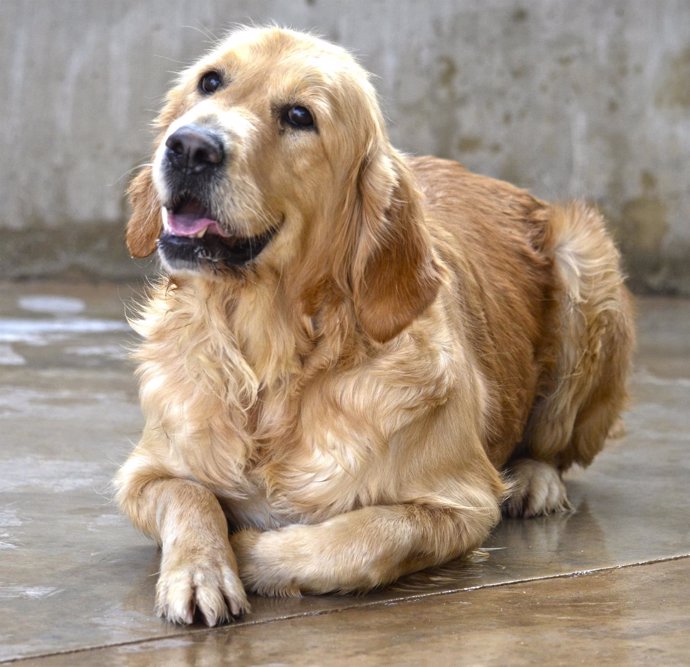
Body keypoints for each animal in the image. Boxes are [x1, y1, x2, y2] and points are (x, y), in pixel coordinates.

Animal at [114, 24, 636, 620]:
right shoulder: (142, 472)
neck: (271, 368)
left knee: (554, 448)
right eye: (210, 82)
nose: (190, 146)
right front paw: (201, 569)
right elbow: (189, 493)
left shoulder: (461, 503)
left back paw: (534, 480)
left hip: (586, 261)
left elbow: (366, 538)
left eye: (300, 116)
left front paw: (249, 550)